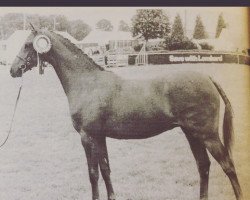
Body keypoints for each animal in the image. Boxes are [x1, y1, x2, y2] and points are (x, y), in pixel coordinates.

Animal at [9, 26, 242, 200]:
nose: (13, 69)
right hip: (192, 134)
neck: (87, 83)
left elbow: (93, 174)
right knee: (204, 166)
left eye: (28, 44)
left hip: (207, 134)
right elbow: (105, 170)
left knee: (228, 165)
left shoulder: (87, 137)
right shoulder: (100, 137)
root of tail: (208, 78)